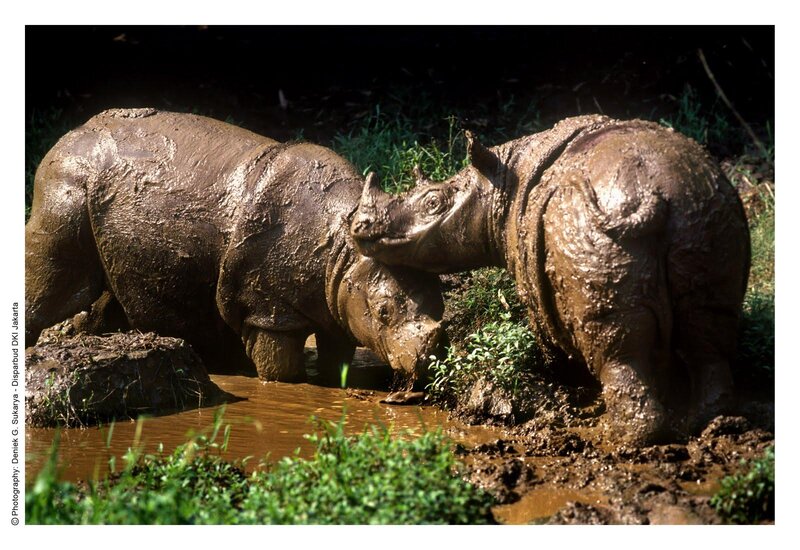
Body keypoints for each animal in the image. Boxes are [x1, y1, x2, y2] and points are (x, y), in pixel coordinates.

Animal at [26, 108, 444, 386]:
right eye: (384, 311)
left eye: (441, 304)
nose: (429, 356)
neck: (342, 250)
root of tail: (67, 136)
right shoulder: (266, 310)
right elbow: (281, 369)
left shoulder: (337, 296)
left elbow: (337, 353)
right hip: (64, 184)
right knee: (54, 278)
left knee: (105, 287)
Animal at [350, 115, 751, 443]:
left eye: (433, 203)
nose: (359, 226)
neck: (499, 181)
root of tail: (654, 196)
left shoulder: (528, 267)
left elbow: (545, 328)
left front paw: (560, 381)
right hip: (704, 210)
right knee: (708, 326)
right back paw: (712, 424)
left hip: (589, 225)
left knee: (617, 348)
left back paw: (620, 437)